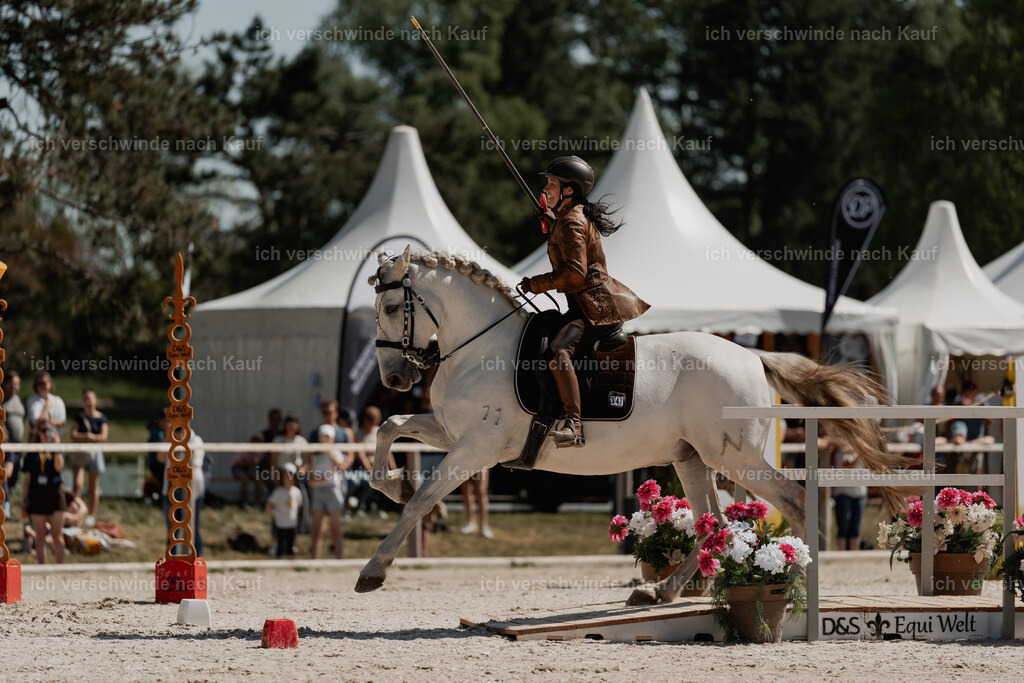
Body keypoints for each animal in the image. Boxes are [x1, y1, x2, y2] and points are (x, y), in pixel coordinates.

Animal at [356, 246, 905, 605]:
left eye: (391, 307)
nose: (395, 377)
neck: (480, 346)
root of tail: (753, 356)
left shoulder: (475, 448)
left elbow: (423, 501)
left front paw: (374, 569)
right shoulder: (451, 433)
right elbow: (389, 427)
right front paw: (393, 482)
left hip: (733, 457)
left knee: (790, 501)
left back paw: (792, 587)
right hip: (693, 459)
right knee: (716, 522)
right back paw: (663, 590)